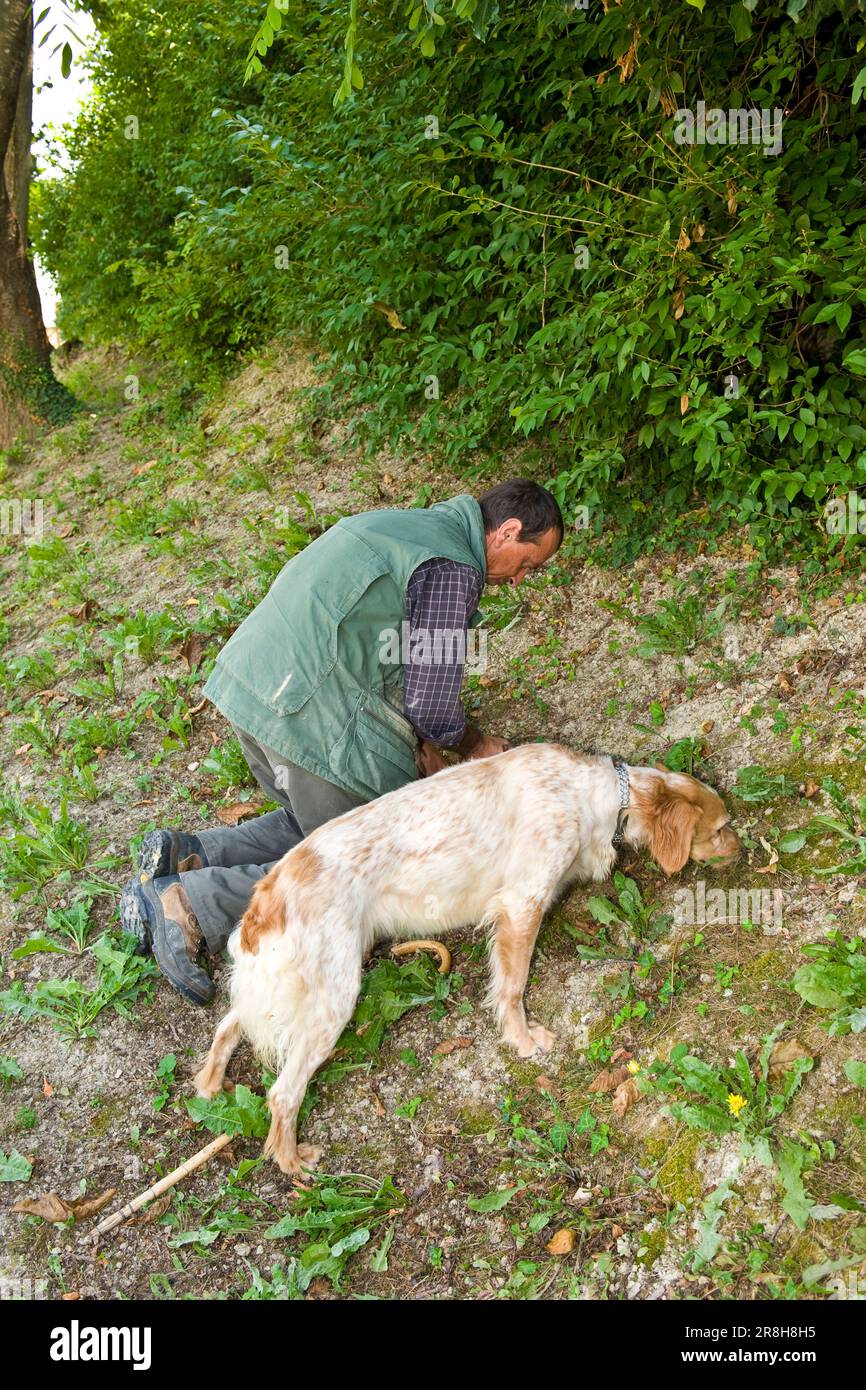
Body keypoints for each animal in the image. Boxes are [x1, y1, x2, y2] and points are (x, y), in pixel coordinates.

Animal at [194, 745, 739, 1178]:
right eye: (720, 828)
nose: (742, 849)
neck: (595, 794)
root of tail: (268, 894)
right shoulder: (521, 905)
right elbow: (512, 989)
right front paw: (524, 1041)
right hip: (335, 996)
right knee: (282, 1093)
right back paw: (291, 1161)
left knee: (227, 1024)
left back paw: (211, 1085)